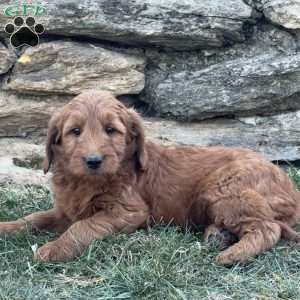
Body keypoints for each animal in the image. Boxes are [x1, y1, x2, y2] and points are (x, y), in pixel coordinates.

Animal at [1, 89, 298, 264]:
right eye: (75, 131)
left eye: (111, 130)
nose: (94, 160)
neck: (87, 182)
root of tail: (290, 188)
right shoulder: (66, 210)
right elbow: (34, 218)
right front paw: (7, 227)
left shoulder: (128, 211)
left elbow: (83, 227)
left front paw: (54, 249)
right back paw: (218, 235)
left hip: (225, 189)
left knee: (268, 228)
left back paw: (232, 254)